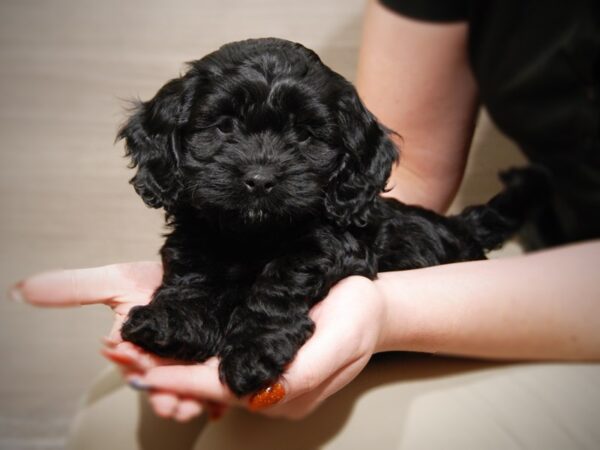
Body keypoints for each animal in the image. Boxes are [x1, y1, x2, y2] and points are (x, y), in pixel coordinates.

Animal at [119, 38, 548, 398]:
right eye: (224, 126)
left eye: (306, 135)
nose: (260, 179)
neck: (252, 234)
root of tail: (459, 225)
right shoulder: (197, 240)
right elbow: (193, 280)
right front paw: (172, 323)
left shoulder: (330, 245)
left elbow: (278, 283)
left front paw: (252, 352)